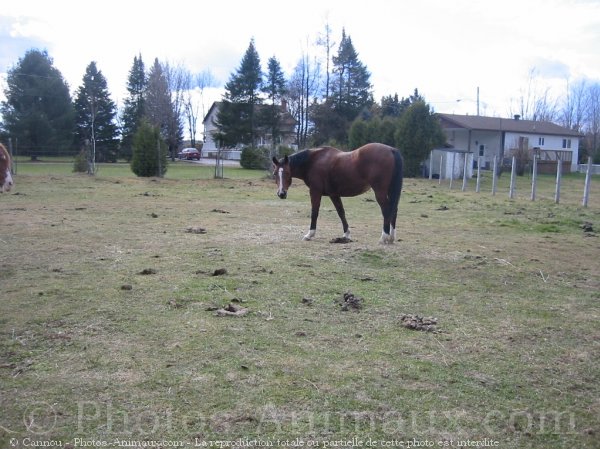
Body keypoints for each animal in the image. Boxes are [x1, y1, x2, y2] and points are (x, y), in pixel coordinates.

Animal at [272, 143, 404, 242]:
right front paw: (346, 234)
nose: (281, 194)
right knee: (394, 209)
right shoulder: (334, 194)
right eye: (275, 174)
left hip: (380, 191)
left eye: (287, 173)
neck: (313, 161)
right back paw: (391, 237)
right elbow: (341, 212)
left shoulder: (315, 192)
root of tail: (391, 150)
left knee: (386, 210)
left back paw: (384, 237)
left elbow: (314, 212)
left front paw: (310, 234)